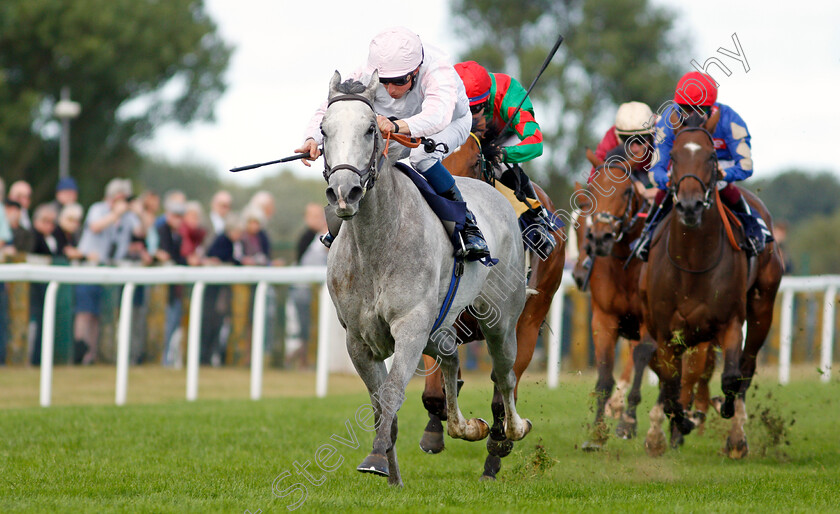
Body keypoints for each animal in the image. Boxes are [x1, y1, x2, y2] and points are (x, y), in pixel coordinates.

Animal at [324, 71, 532, 484]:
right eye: (324, 131)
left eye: (371, 129)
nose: (344, 192)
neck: (376, 245)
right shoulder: (358, 339)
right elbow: (379, 405)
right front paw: (392, 474)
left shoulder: (410, 327)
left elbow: (391, 393)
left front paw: (376, 459)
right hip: (441, 325)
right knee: (450, 356)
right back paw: (465, 426)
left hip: (501, 319)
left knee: (505, 374)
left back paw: (512, 430)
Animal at [418, 130, 564, 478]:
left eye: (474, 162)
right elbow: (433, 394)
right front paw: (435, 429)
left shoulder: (516, 326)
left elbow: (502, 391)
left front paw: (498, 443)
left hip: (531, 315)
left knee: (505, 384)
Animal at [640, 109, 784, 456]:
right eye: (674, 157)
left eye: (710, 157)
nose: (690, 205)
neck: (693, 262)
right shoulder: (665, 330)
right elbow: (670, 382)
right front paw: (678, 424)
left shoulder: (730, 321)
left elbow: (731, 377)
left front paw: (723, 410)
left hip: (762, 307)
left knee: (746, 367)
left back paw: (736, 438)